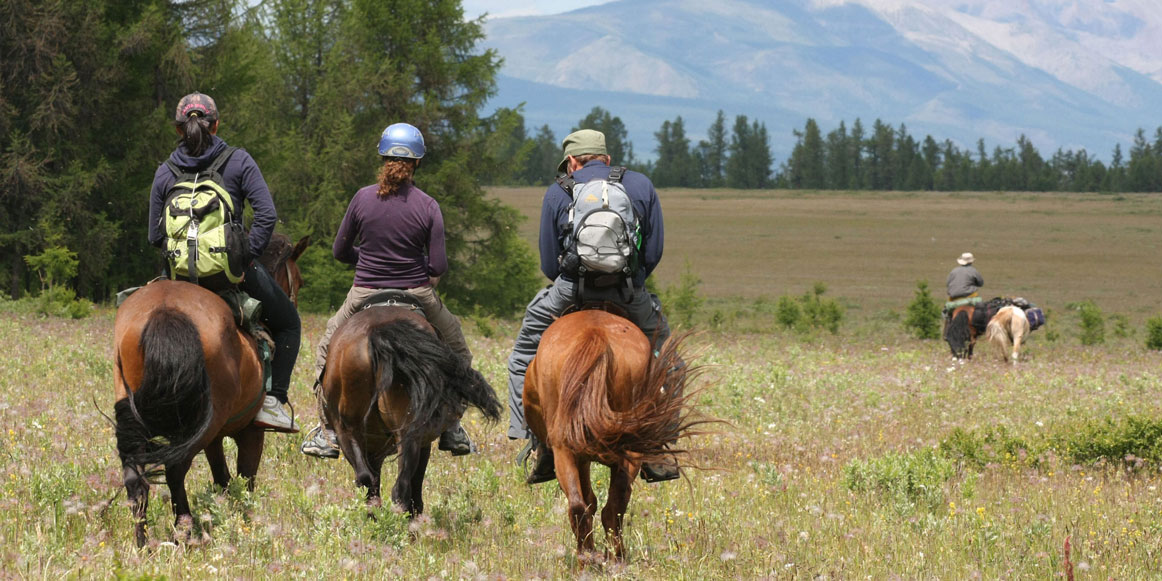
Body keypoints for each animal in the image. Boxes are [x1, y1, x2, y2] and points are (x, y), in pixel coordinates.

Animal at [112, 233, 309, 546]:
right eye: (298, 281)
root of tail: (166, 309)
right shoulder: (251, 432)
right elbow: (245, 481)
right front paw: (246, 525)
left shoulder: (214, 438)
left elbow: (223, 479)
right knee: (175, 469)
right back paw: (185, 531)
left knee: (135, 476)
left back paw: (143, 543)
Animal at [318, 304, 499, 513]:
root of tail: (377, 330)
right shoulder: (422, 443)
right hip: (408, 435)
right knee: (400, 488)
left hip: (351, 431)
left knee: (370, 481)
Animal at [525, 309, 697, 562]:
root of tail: (595, 334)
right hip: (620, 449)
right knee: (606, 506)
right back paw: (611, 559)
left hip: (566, 449)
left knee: (588, 507)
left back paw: (595, 559)